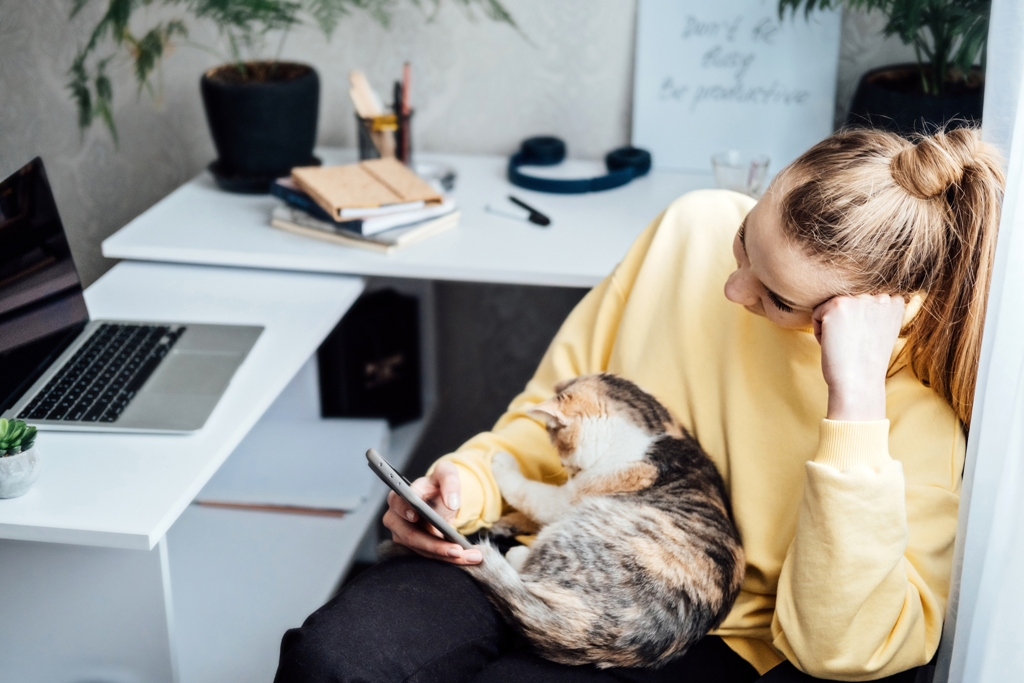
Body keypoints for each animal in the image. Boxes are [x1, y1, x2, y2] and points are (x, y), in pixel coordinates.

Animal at [464, 374, 745, 667]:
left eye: (559, 443)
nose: (566, 467)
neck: (651, 434)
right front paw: (507, 521)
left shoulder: (567, 498)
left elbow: (528, 493)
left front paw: (502, 462)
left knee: (530, 568)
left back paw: (515, 554)